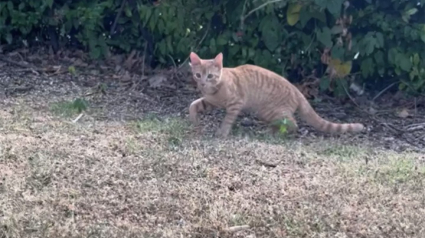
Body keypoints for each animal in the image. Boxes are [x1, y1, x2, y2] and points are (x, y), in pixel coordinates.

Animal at [187, 52, 362, 138]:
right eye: (198, 75)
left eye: (210, 76)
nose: (202, 83)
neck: (214, 90)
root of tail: (296, 89)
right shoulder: (210, 101)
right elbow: (193, 105)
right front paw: (194, 121)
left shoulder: (235, 104)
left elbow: (227, 120)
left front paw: (222, 133)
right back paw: (271, 131)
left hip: (269, 111)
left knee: (293, 124)